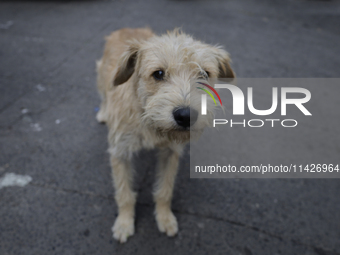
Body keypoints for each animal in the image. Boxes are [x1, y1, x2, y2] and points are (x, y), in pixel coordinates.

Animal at [95, 27, 234, 243]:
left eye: (204, 74)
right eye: (158, 74)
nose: (186, 116)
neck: (148, 122)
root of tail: (128, 29)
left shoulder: (171, 152)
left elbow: (165, 191)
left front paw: (164, 217)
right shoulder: (120, 152)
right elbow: (124, 193)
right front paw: (124, 223)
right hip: (102, 76)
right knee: (103, 94)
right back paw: (103, 112)